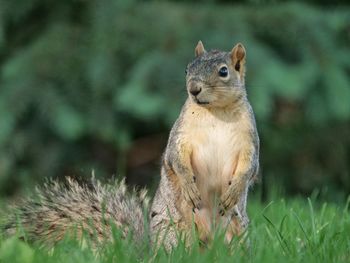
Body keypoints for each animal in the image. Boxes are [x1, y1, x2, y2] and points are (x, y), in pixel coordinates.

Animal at [2, 40, 260, 252]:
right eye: (187, 69)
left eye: (224, 71)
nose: (193, 89)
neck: (215, 113)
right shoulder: (180, 136)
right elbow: (176, 159)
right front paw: (189, 186)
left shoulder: (250, 141)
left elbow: (250, 168)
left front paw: (234, 191)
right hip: (173, 231)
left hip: (237, 230)